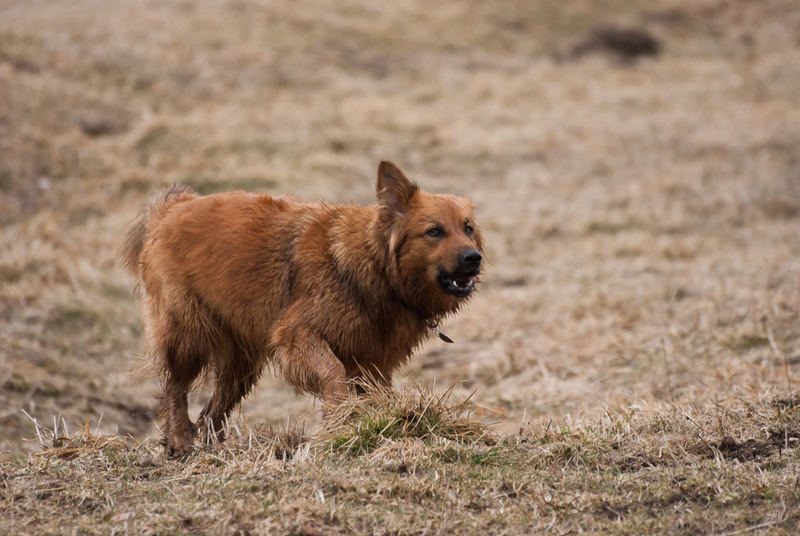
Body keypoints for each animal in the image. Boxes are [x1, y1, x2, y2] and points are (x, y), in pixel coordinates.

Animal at [117, 160, 482, 456]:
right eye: (434, 231)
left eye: (468, 229)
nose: (474, 258)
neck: (374, 267)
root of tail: (175, 207)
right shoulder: (297, 334)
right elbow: (333, 373)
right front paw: (339, 421)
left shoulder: (374, 362)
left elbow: (377, 393)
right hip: (187, 334)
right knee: (175, 388)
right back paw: (179, 438)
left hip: (242, 361)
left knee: (213, 409)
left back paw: (212, 444)